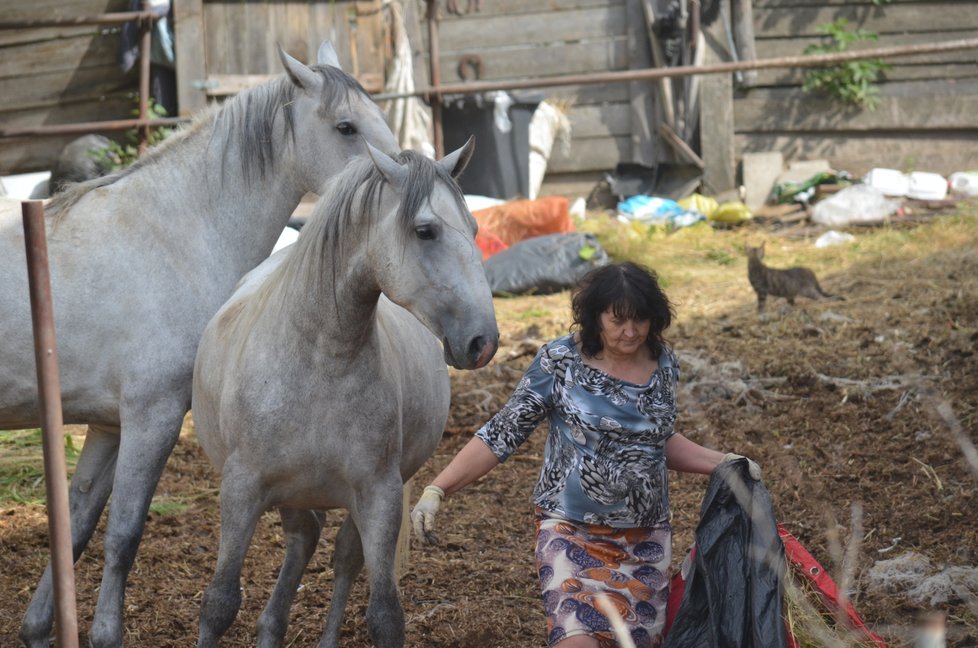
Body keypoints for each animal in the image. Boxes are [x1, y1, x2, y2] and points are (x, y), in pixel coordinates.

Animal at [0, 43, 398, 644]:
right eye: (347, 126)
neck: (172, 233)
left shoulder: (109, 425)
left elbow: (77, 528)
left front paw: (39, 628)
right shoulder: (153, 417)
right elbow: (123, 535)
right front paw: (106, 632)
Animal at [192, 139, 500, 644]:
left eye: (474, 229)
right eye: (426, 231)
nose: (483, 341)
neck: (320, 361)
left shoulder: (378, 495)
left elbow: (385, 615)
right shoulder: (241, 490)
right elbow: (219, 603)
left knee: (339, 557)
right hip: (288, 494)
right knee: (303, 542)